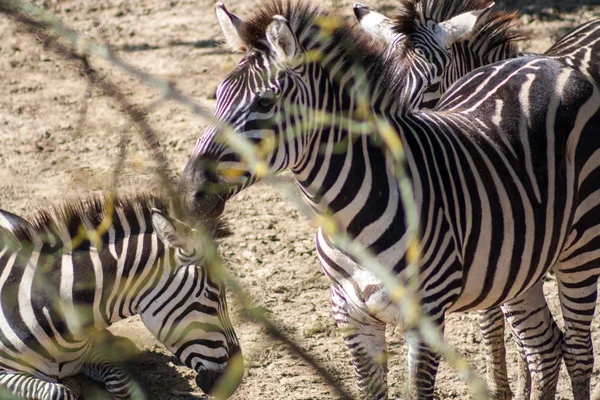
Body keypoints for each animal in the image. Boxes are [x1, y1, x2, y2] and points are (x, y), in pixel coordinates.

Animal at [0, 192, 241, 398]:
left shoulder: (93, 348)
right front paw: (71, 383)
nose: (236, 378)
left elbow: (121, 380)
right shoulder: (4, 374)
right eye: (213, 294)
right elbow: (57, 391)